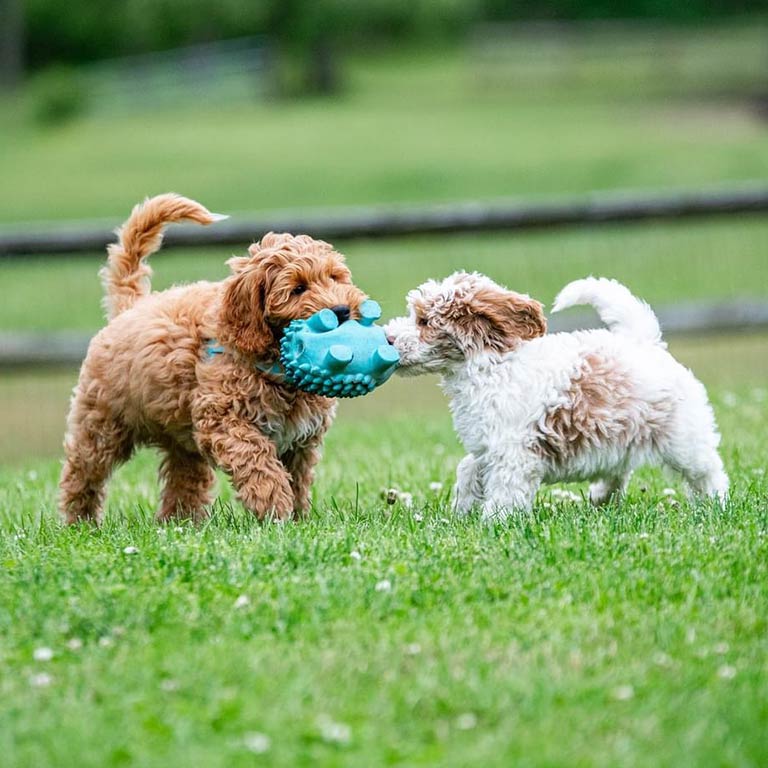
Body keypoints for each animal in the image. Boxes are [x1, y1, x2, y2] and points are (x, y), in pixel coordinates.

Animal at [60, 195, 366, 524]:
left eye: (334, 277)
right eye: (298, 289)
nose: (341, 311)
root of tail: (132, 306)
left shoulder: (299, 439)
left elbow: (297, 477)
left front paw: (297, 517)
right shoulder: (224, 419)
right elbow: (258, 460)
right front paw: (273, 506)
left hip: (180, 438)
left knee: (183, 476)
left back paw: (179, 522)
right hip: (101, 421)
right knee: (83, 471)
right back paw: (79, 522)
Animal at [388, 272, 728, 520]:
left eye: (424, 321)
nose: (389, 338)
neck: (491, 365)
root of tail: (646, 343)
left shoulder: (514, 452)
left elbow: (505, 490)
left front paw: (494, 523)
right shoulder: (488, 445)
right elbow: (467, 468)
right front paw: (461, 511)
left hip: (683, 439)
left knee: (709, 471)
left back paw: (718, 505)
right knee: (621, 466)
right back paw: (602, 496)